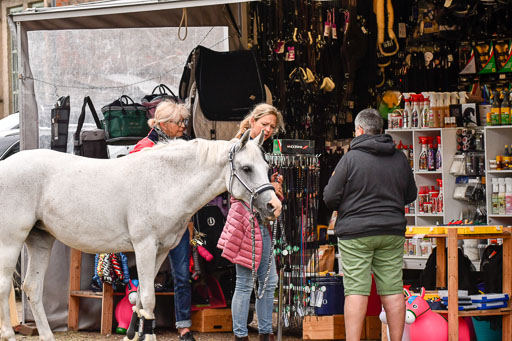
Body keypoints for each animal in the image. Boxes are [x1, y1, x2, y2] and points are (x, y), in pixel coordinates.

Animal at [0, 130, 280, 340]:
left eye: (267, 166)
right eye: (246, 168)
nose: (273, 206)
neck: (164, 182)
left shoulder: (161, 250)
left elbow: (142, 299)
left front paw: (135, 334)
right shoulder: (144, 246)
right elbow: (147, 297)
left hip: (40, 240)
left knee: (32, 287)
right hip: (11, 242)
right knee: (5, 286)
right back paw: (8, 334)